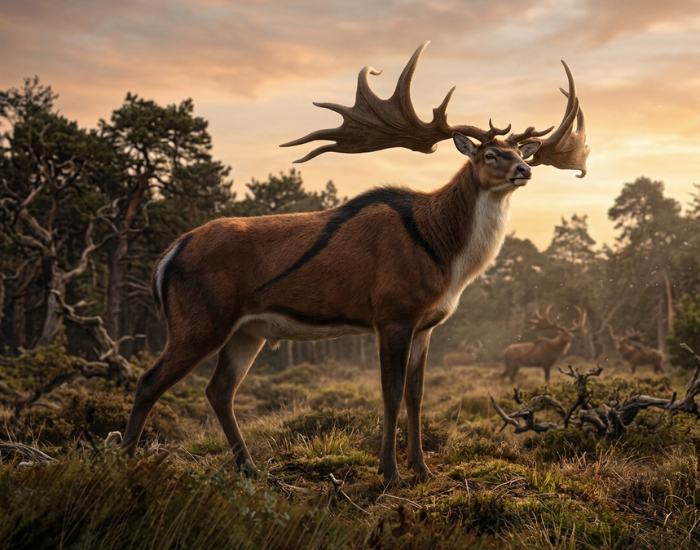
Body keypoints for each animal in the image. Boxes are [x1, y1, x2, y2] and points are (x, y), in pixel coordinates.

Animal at [121, 42, 588, 486]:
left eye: (518, 150)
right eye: (489, 154)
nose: (524, 169)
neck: (446, 256)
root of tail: (167, 257)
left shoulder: (427, 325)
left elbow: (418, 395)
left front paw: (422, 468)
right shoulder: (392, 312)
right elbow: (391, 393)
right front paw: (390, 472)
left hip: (246, 331)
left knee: (219, 390)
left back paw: (249, 467)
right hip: (200, 319)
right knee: (148, 381)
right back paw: (123, 460)